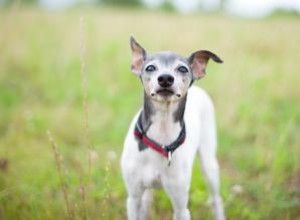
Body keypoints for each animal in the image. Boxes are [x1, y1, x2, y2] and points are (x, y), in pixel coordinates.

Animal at [120, 36, 224, 220]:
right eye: (150, 67)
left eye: (182, 68)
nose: (166, 78)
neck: (161, 135)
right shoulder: (133, 198)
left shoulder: (181, 207)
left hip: (209, 164)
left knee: (216, 198)